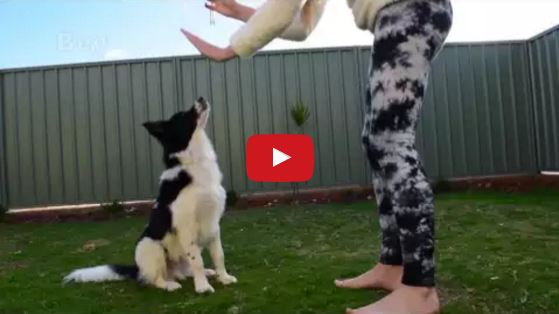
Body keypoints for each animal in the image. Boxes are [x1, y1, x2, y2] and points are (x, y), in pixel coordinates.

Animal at [64, 97, 237, 294]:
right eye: (184, 115)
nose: (201, 98)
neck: (193, 163)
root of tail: (137, 269)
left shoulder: (213, 224)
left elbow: (219, 255)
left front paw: (224, 278)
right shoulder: (186, 227)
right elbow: (197, 261)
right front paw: (203, 287)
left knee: (185, 271)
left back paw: (203, 273)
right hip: (151, 246)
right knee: (154, 279)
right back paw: (169, 284)